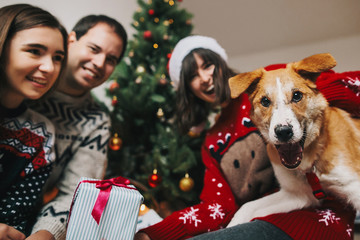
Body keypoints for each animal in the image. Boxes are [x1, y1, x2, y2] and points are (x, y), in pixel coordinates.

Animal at [226, 53, 360, 227]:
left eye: (297, 96)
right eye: (265, 101)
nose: (283, 132)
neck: (309, 166)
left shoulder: (354, 187)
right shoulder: (297, 194)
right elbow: (247, 206)